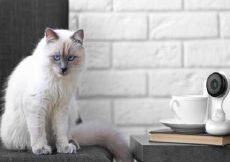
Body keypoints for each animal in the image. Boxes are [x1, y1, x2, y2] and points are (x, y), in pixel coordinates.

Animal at [0, 28, 132, 162]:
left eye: (71, 58)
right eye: (56, 57)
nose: (63, 69)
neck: (58, 82)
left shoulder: (61, 107)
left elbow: (61, 131)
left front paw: (64, 148)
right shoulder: (37, 105)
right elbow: (38, 131)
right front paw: (41, 149)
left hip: (71, 111)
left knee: (63, 136)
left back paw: (71, 144)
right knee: (29, 142)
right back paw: (29, 147)